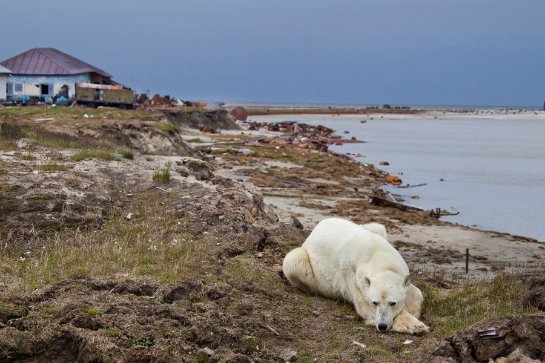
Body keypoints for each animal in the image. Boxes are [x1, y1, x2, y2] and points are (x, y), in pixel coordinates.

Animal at [280, 218, 430, 334]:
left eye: (393, 303)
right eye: (375, 302)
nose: (382, 326)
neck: (377, 255)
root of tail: (313, 232)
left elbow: (417, 293)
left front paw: (414, 310)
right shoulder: (353, 277)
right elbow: (364, 308)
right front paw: (414, 325)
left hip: (374, 228)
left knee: (378, 225)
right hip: (304, 261)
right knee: (294, 261)